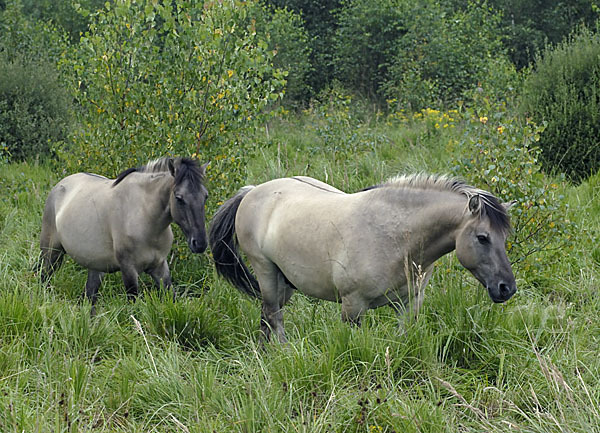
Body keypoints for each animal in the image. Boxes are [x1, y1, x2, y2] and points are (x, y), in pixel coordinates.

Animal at [40, 157, 209, 312]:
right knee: (43, 278)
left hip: (95, 266)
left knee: (90, 296)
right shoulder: (129, 269)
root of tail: (59, 186)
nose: (200, 243)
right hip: (51, 253)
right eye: (179, 198)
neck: (145, 216)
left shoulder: (160, 267)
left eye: (205, 196)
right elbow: (133, 304)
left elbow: (171, 296)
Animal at [210, 174, 516, 342]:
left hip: (284, 282)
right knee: (274, 317)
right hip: (267, 274)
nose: (507, 288)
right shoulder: (353, 307)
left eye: (504, 237)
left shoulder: (409, 305)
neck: (396, 237)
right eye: (482, 237)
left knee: (266, 317)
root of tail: (251, 191)